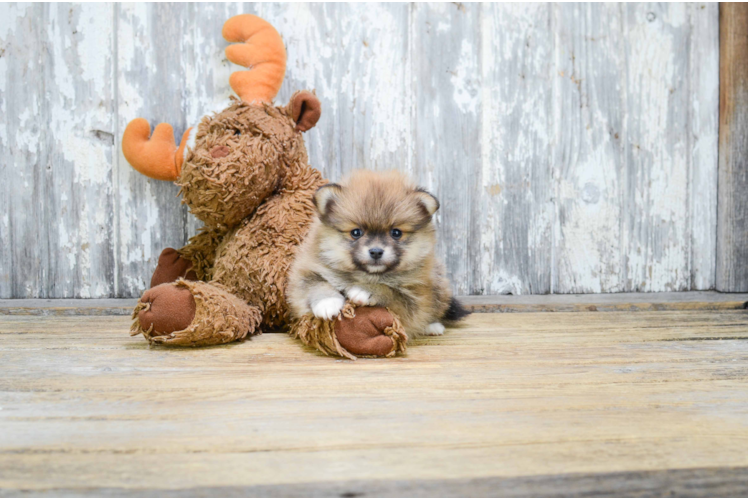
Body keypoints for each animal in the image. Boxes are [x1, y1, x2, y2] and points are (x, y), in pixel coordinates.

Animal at [286, 170, 468, 338]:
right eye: (356, 232)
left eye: (396, 233)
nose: (376, 251)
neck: (367, 275)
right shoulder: (306, 271)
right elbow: (315, 285)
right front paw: (328, 303)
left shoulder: (415, 296)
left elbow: (392, 293)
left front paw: (366, 290)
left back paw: (432, 326)